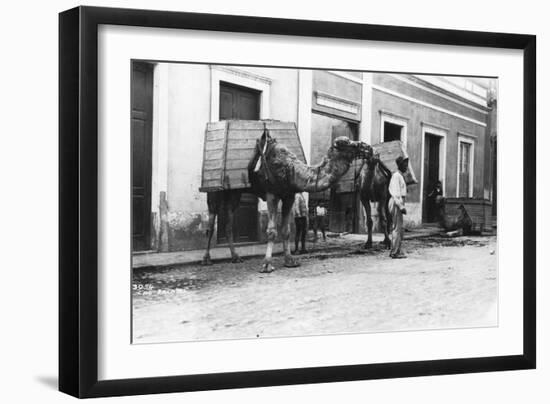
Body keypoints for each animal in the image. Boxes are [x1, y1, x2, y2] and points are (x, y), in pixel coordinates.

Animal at [203, 131, 376, 274]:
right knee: (211, 224)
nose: (368, 148)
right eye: (345, 143)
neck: (291, 170)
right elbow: (271, 231)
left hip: (234, 193)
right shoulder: (272, 194)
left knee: (228, 223)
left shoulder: (289, 195)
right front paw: (267, 265)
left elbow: (286, 230)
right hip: (215, 192)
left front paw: (290, 260)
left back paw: (235, 257)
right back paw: (207, 259)